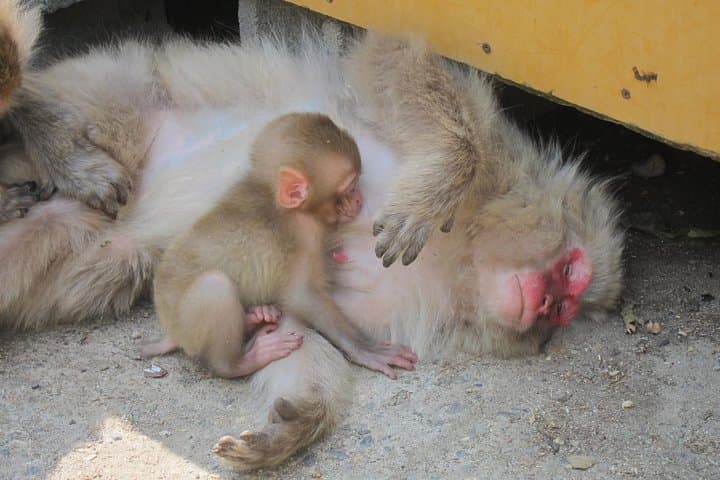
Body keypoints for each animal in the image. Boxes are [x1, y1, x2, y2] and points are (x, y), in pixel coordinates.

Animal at [148, 112, 416, 379]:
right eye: (350, 187)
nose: (360, 199)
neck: (269, 191)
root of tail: (169, 327)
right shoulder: (304, 233)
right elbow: (302, 295)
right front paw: (365, 348)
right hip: (188, 324)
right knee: (214, 287)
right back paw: (242, 361)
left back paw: (257, 316)